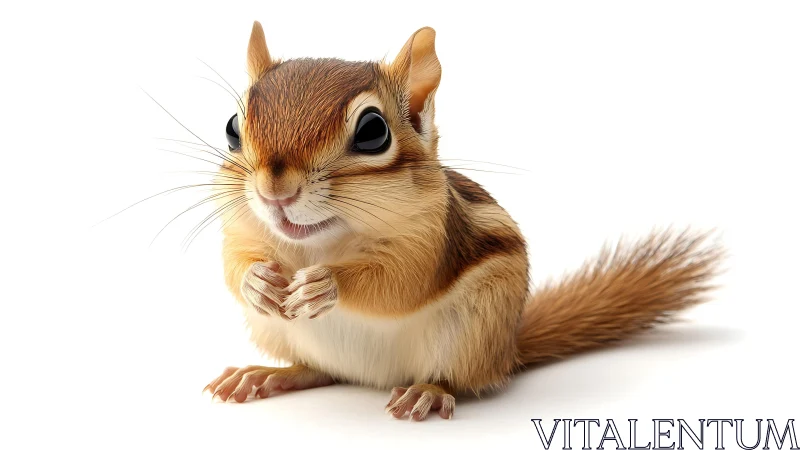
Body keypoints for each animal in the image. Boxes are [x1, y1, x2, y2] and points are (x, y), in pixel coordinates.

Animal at [201, 21, 725, 421]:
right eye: (232, 127)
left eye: (372, 131)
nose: (275, 192)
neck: (320, 244)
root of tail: (507, 351)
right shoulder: (239, 229)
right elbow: (231, 265)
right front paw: (258, 282)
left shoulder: (433, 242)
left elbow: (398, 285)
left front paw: (325, 285)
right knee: (318, 370)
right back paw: (267, 374)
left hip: (471, 330)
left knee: (457, 379)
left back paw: (426, 392)